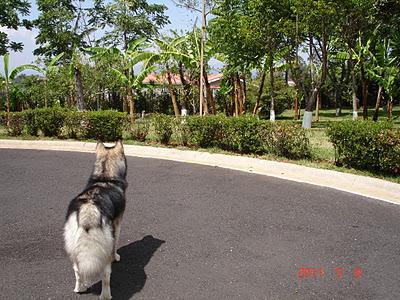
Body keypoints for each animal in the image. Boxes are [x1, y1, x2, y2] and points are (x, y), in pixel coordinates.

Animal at [64, 141, 127, 300]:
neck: (104, 176)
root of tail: (89, 208)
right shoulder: (117, 224)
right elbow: (115, 245)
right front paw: (116, 256)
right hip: (104, 252)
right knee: (105, 276)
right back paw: (106, 296)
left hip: (74, 248)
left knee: (77, 270)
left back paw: (79, 288)